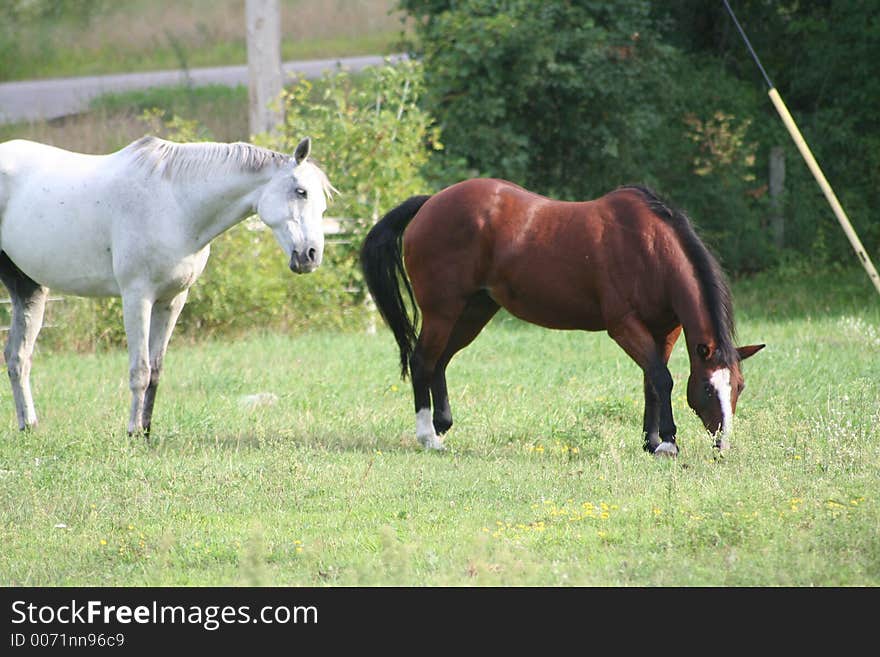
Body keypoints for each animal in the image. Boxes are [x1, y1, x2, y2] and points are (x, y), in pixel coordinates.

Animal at [0, 137, 336, 436]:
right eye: (301, 192)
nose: (310, 256)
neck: (174, 203)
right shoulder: (137, 297)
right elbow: (140, 370)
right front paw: (133, 432)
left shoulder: (172, 300)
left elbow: (156, 371)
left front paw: (147, 431)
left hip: (29, 290)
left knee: (18, 357)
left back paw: (29, 426)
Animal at [360, 179, 768, 456]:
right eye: (707, 389)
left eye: (739, 387)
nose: (723, 443)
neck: (650, 248)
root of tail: (431, 202)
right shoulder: (624, 326)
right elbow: (662, 379)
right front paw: (667, 442)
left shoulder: (664, 330)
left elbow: (652, 381)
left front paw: (651, 441)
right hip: (442, 311)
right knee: (422, 361)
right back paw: (427, 436)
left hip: (474, 310)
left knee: (440, 360)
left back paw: (442, 424)